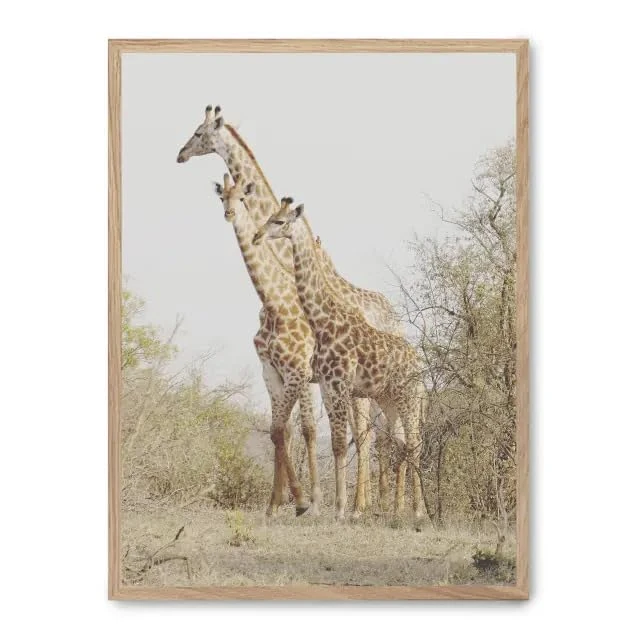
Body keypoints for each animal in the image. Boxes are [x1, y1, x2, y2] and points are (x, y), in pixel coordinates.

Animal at [177, 106, 400, 516]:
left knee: (369, 435)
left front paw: (310, 501)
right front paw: (291, 500)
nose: (180, 154)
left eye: (200, 133)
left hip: (366, 387)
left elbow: (306, 429)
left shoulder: (302, 368)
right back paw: (369, 503)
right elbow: (291, 429)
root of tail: (396, 317)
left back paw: (364, 505)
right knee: (370, 435)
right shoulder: (289, 372)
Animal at [253, 200, 426, 524]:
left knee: (414, 443)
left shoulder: (340, 383)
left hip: (408, 398)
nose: (257, 235)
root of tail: (420, 364)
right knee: (401, 443)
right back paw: (398, 510)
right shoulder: (327, 386)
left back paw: (418, 511)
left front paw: (342, 509)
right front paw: (335, 507)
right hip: (389, 400)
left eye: (279, 221)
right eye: (269, 217)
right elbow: (336, 444)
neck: (323, 321)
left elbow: (341, 443)